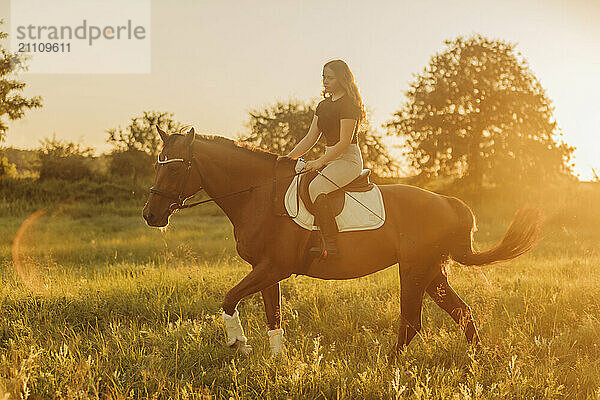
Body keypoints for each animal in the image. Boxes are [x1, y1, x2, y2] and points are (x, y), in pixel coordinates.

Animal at [142, 128, 544, 360]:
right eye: (156, 165)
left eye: (174, 167)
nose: (151, 215)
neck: (258, 194)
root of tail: (449, 203)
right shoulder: (266, 271)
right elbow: (273, 316)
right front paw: (278, 362)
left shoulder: (274, 267)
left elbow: (228, 299)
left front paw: (238, 344)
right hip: (432, 272)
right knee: (462, 313)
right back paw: (478, 363)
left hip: (414, 271)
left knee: (412, 322)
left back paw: (389, 367)